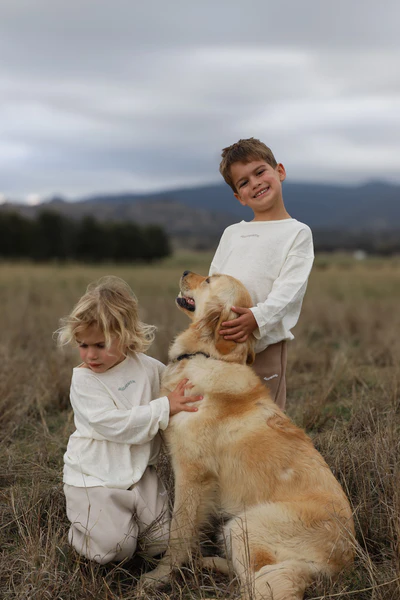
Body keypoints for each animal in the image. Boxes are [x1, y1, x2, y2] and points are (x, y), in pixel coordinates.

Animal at [142, 274, 354, 600]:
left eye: (208, 279)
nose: (186, 271)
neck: (212, 356)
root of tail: (343, 560)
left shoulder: (192, 473)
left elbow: (179, 532)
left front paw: (159, 577)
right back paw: (207, 561)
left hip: (245, 524)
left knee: (252, 584)